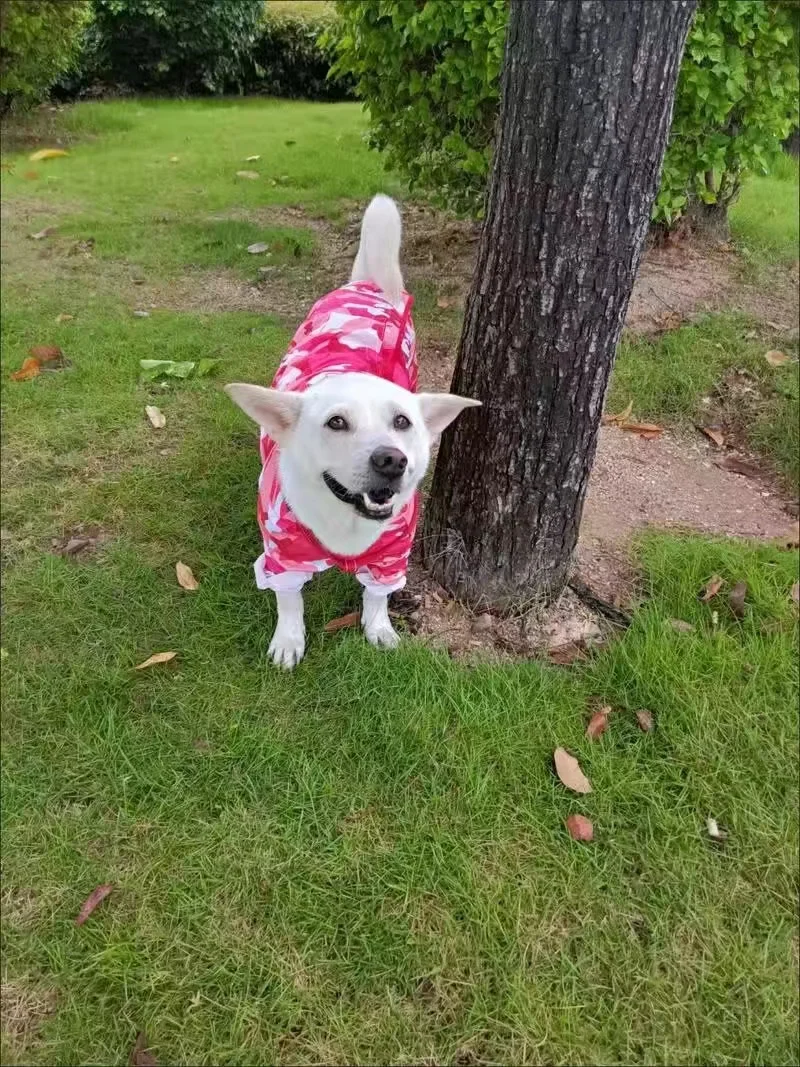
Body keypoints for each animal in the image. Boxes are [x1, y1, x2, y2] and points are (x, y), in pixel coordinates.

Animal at [226, 196, 480, 665]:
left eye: (402, 421)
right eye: (336, 422)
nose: (392, 460)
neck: (346, 523)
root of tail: (367, 285)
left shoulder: (391, 557)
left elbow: (377, 596)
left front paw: (378, 629)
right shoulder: (282, 557)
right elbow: (289, 600)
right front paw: (288, 640)